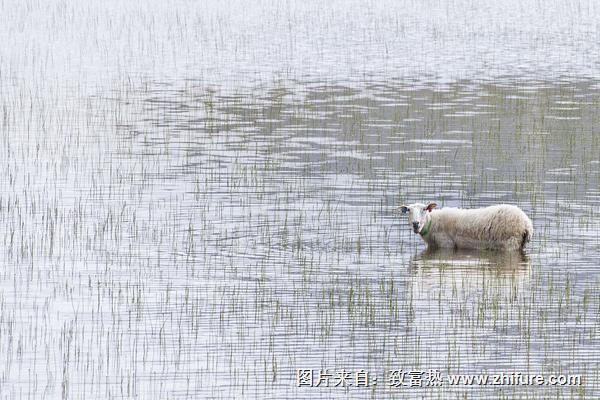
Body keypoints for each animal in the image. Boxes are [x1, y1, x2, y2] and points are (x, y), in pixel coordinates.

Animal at [398, 203, 536, 250]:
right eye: (409, 210)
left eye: (424, 209)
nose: (415, 224)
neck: (433, 222)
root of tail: (527, 223)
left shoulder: (446, 244)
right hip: (520, 243)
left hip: (510, 242)